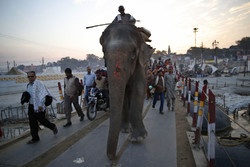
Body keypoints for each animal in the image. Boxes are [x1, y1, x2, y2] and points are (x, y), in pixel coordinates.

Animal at [99, 22, 154, 159]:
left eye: (133, 53)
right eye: (103, 52)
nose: (112, 157)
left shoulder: (141, 64)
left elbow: (139, 89)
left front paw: (138, 138)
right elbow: (123, 93)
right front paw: (124, 130)